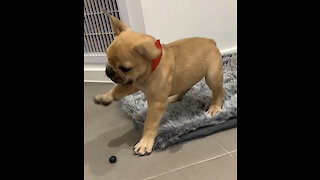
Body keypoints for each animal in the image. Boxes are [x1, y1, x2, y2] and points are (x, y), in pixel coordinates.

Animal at [94, 10, 224, 156]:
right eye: (107, 57)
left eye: (125, 68)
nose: (108, 72)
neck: (149, 70)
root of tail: (210, 41)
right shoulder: (131, 83)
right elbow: (117, 89)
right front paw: (105, 97)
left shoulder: (155, 103)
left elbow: (150, 123)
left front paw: (145, 142)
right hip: (187, 78)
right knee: (186, 87)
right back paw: (175, 97)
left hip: (212, 77)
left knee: (219, 91)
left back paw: (215, 107)